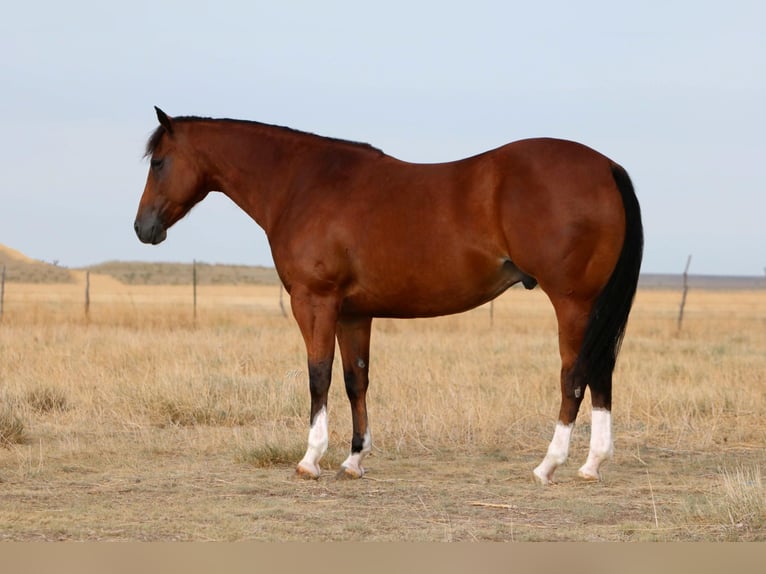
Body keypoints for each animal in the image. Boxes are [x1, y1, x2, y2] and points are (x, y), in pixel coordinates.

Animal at [135, 108, 644, 486]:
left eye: (158, 162)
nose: (143, 228)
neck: (302, 184)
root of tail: (607, 166)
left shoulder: (315, 301)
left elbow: (318, 375)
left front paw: (310, 459)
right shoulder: (353, 313)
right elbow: (354, 380)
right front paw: (354, 460)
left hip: (573, 302)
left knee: (574, 376)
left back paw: (548, 465)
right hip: (592, 306)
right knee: (600, 372)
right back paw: (591, 465)